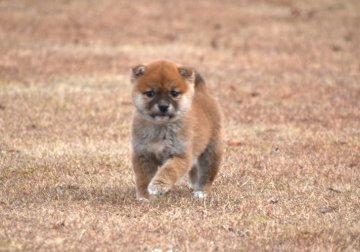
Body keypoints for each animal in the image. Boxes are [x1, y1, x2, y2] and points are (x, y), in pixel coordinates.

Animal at [131, 60, 224, 200]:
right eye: (150, 93)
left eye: (174, 93)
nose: (163, 106)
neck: (161, 127)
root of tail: (203, 91)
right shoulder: (143, 154)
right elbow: (143, 178)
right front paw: (144, 196)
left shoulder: (180, 155)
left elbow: (169, 170)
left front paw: (158, 186)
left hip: (211, 152)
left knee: (207, 174)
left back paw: (201, 191)